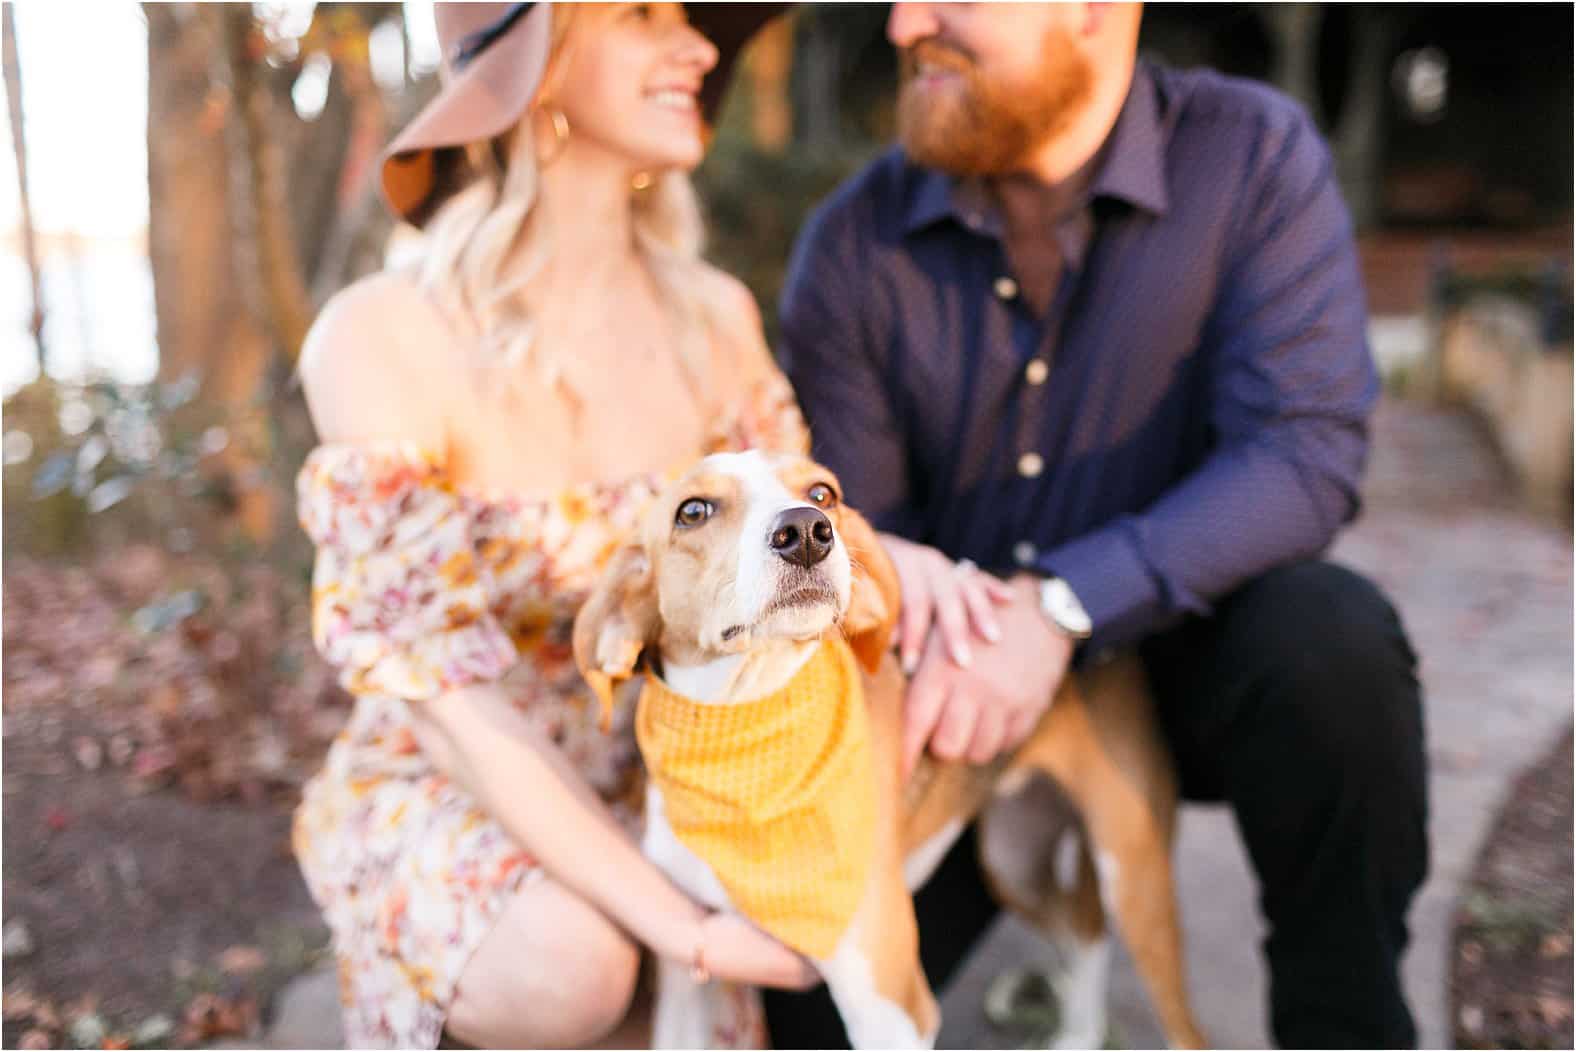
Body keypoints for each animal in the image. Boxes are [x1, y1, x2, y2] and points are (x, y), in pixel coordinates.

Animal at [573, 453, 1197, 1052]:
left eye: (822, 492)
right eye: (693, 511)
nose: (806, 531)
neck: (742, 736)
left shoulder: (891, 1010)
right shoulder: (687, 971)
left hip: (1132, 877)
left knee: (1179, 1020)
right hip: (1012, 860)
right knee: (1084, 932)